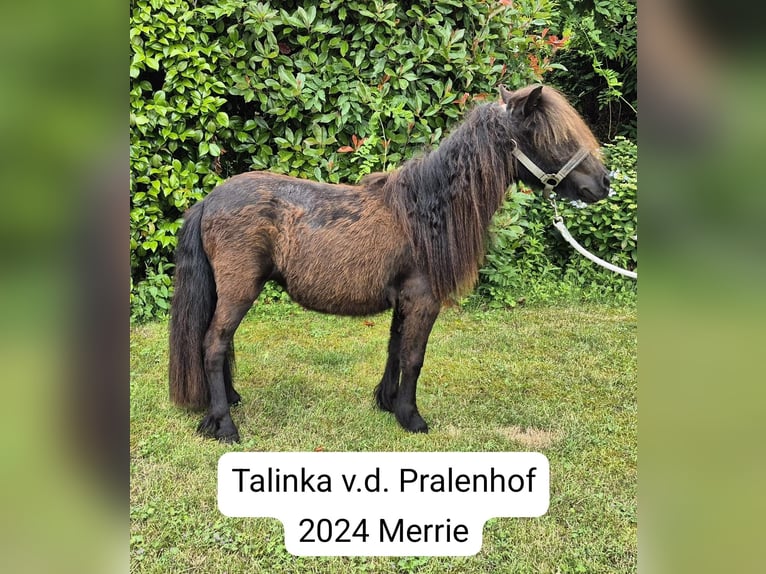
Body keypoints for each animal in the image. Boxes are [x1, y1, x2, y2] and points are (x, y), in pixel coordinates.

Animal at [168, 84, 611, 442]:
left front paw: (387, 402)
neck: (425, 211)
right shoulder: (423, 300)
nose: (605, 183)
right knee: (213, 345)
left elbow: (395, 350)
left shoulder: (404, 300)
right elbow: (414, 358)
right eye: (553, 137)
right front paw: (411, 417)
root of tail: (208, 201)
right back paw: (225, 426)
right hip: (239, 290)